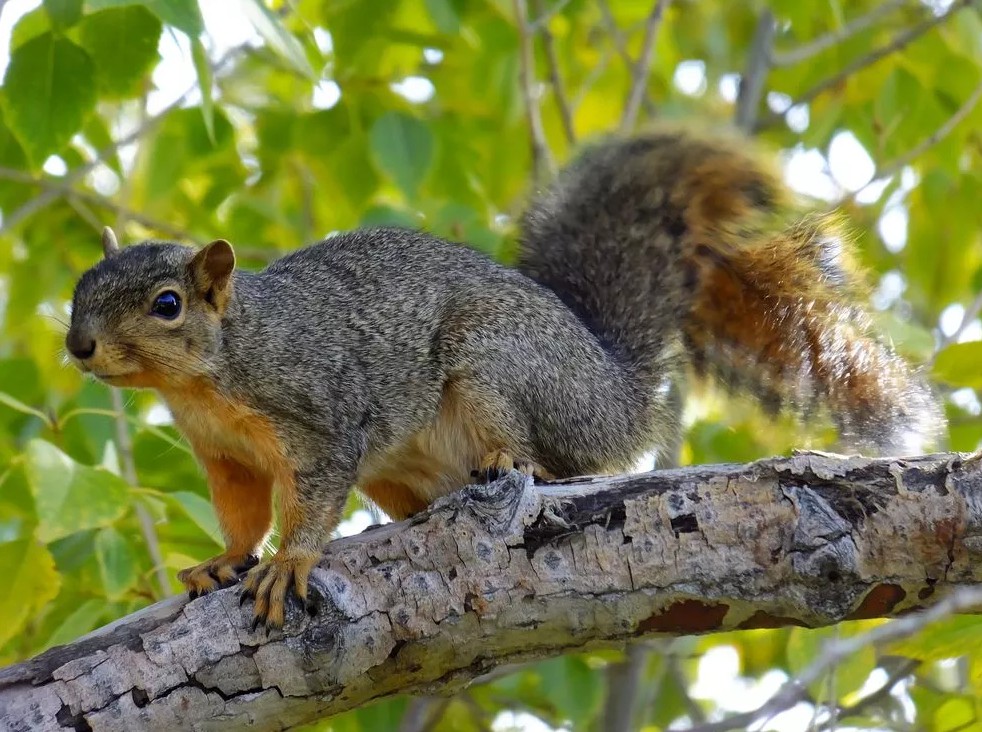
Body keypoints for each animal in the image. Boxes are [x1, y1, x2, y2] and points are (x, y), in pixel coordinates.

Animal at [67, 126, 944, 628]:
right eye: (80, 285)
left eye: (168, 304)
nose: (77, 346)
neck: (211, 376)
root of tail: (614, 392)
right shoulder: (225, 457)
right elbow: (241, 516)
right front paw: (226, 559)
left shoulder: (318, 414)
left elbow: (311, 500)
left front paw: (290, 562)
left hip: (496, 363)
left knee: (549, 457)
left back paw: (508, 461)